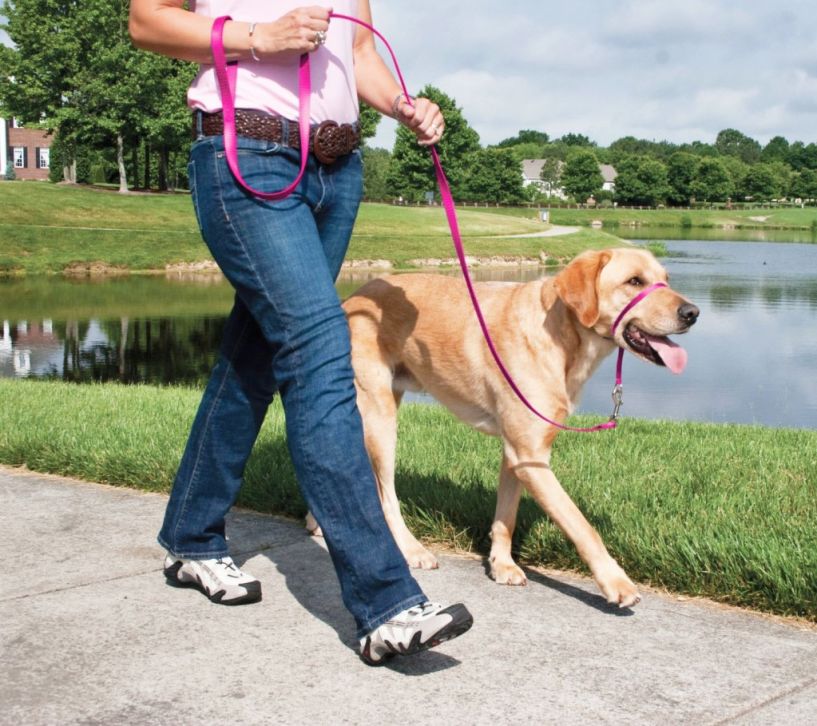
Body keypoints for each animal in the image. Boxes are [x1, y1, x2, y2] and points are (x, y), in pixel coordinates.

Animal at [310, 250, 700, 608]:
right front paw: (615, 581)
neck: (561, 337)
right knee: (385, 495)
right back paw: (410, 549)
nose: (692, 313)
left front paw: (502, 564)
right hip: (380, 417)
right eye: (634, 281)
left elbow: (506, 515)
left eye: (665, 278)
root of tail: (354, 296)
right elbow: (581, 524)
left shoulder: (517, 452)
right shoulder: (531, 457)